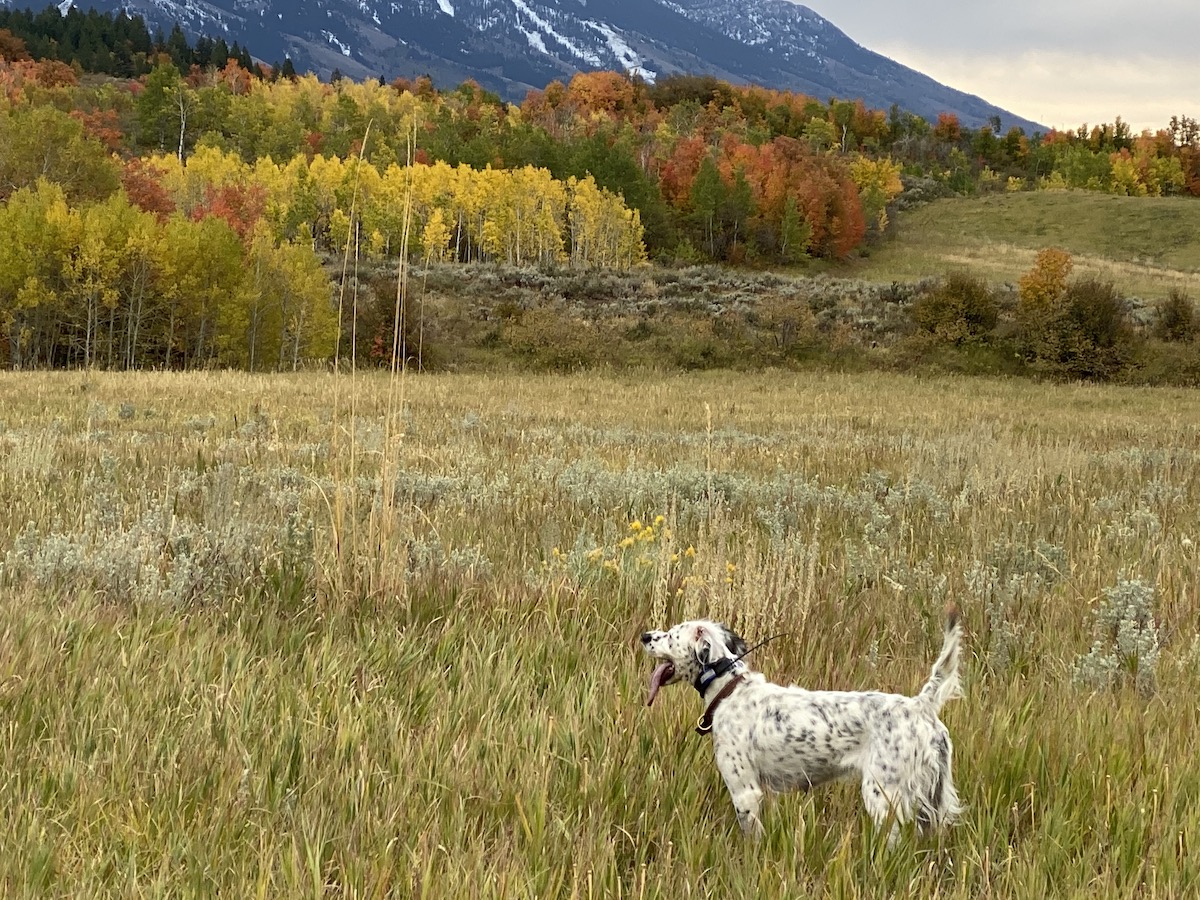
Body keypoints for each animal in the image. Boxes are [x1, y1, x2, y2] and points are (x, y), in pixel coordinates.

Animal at [638, 607, 964, 844]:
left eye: (669, 636)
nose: (644, 635)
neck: (729, 690)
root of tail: (920, 705)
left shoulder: (744, 791)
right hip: (933, 801)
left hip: (883, 796)